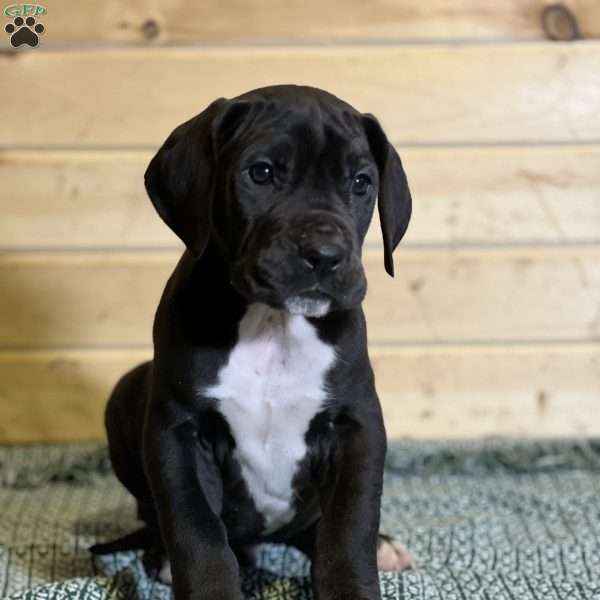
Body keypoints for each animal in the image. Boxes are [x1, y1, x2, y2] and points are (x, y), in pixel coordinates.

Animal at [91, 85, 412, 600]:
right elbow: (198, 533)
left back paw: (383, 547)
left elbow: (348, 530)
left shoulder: (356, 426)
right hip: (125, 392)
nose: (325, 255)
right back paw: (162, 557)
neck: (273, 324)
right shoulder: (178, 431)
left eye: (362, 182)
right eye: (261, 173)